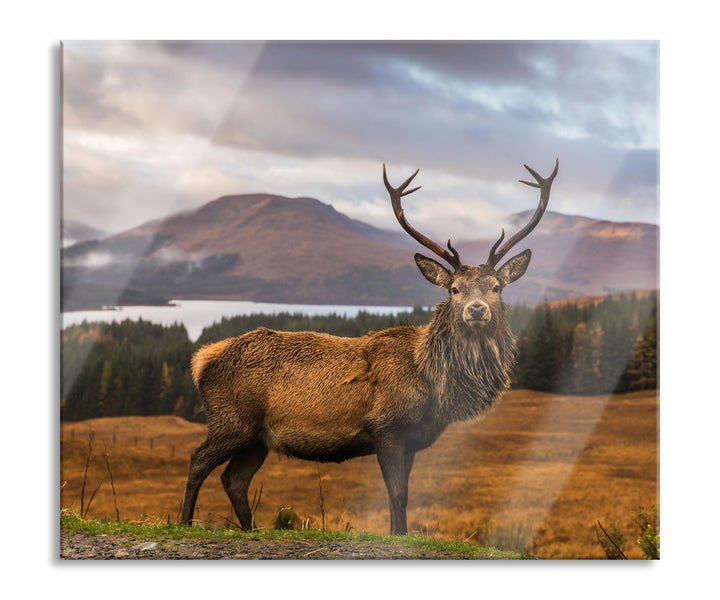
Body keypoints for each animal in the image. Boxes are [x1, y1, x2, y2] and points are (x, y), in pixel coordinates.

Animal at [180, 159, 558, 535]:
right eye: (454, 289)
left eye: (496, 287)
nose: (476, 310)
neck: (432, 384)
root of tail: (201, 360)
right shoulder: (385, 425)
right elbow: (397, 493)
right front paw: (398, 535)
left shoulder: (413, 439)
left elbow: (402, 494)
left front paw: (398, 533)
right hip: (232, 419)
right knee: (198, 459)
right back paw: (185, 522)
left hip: (258, 437)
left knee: (234, 479)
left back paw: (251, 529)